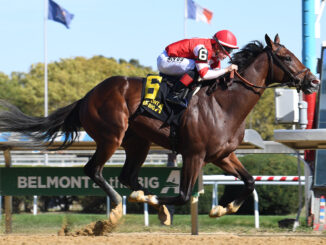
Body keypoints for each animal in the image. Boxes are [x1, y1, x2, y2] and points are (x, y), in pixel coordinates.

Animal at [0, 35, 318, 226]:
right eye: (286, 57)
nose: (313, 81)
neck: (224, 103)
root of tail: (87, 96)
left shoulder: (222, 155)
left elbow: (250, 181)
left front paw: (221, 209)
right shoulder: (194, 154)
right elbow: (183, 195)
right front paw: (159, 202)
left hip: (138, 143)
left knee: (127, 176)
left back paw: (145, 200)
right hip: (111, 136)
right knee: (94, 170)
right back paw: (120, 205)